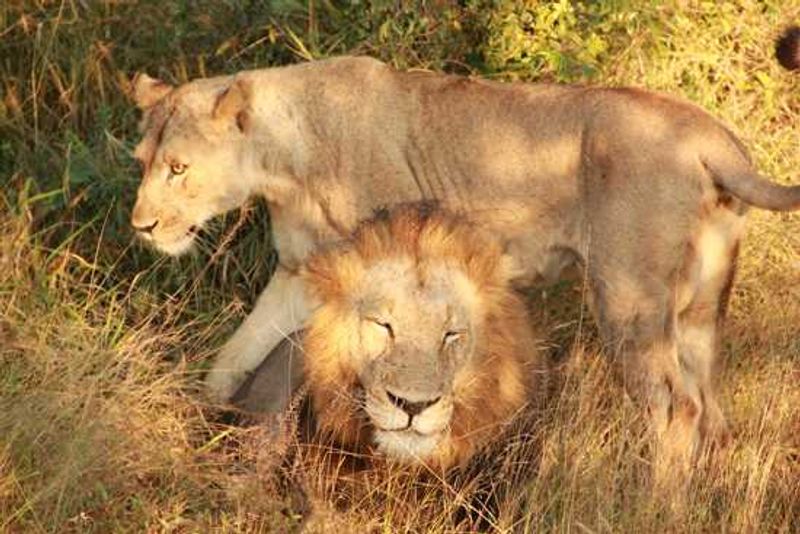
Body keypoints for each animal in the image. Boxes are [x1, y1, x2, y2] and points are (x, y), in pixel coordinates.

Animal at [130, 56, 800, 477]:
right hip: (698, 309)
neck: (283, 161)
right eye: (143, 161)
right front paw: (206, 441)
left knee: (675, 407)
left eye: (179, 168)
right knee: (713, 412)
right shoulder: (299, 275)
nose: (141, 226)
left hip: (628, 299)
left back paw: (653, 502)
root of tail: (714, 138)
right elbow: (231, 363)